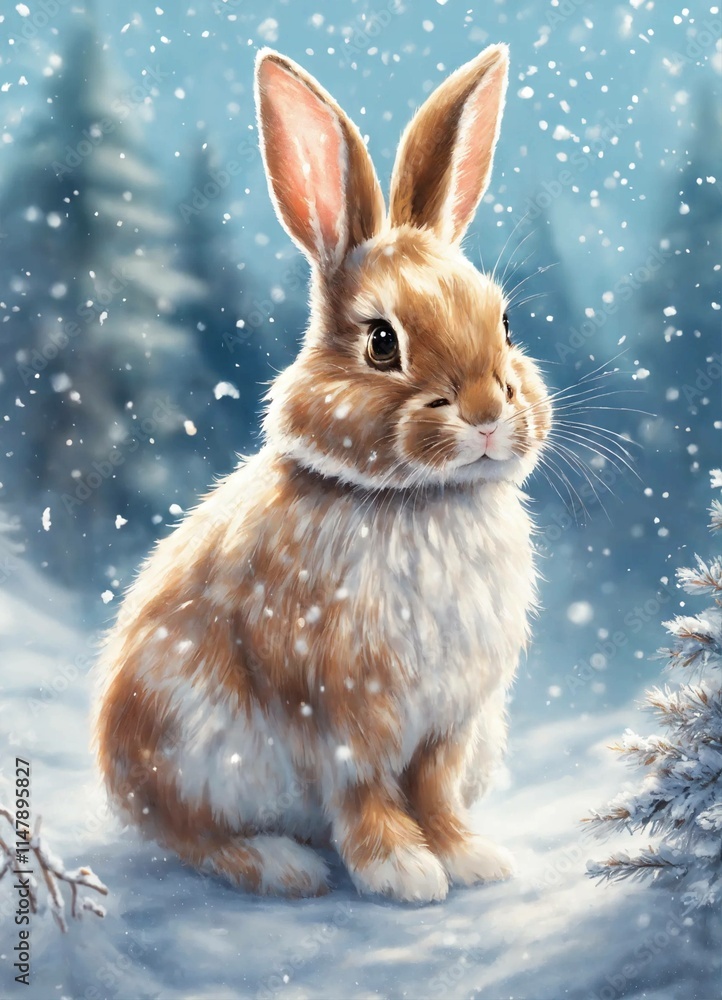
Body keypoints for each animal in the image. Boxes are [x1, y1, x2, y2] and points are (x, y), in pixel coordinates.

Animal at [94, 42, 552, 904]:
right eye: (382, 342)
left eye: (505, 324)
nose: (484, 413)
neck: (414, 502)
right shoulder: (338, 710)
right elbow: (365, 791)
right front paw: (403, 872)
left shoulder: (452, 721)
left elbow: (434, 790)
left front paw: (469, 857)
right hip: (192, 744)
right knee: (187, 834)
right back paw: (283, 865)